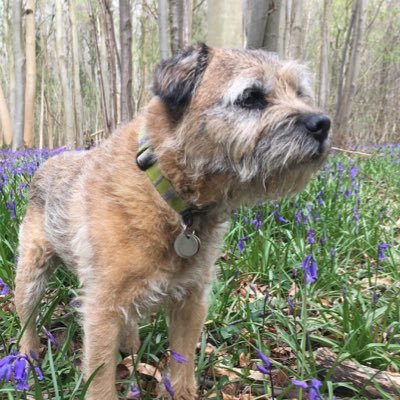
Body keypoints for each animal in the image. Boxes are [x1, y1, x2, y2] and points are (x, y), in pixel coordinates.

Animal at [14, 45, 330, 398]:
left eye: (300, 92)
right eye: (250, 97)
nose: (322, 123)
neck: (169, 194)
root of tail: (45, 164)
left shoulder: (191, 301)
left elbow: (182, 367)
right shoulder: (101, 309)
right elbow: (101, 381)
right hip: (31, 272)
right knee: (26, 317)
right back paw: (28, 357)